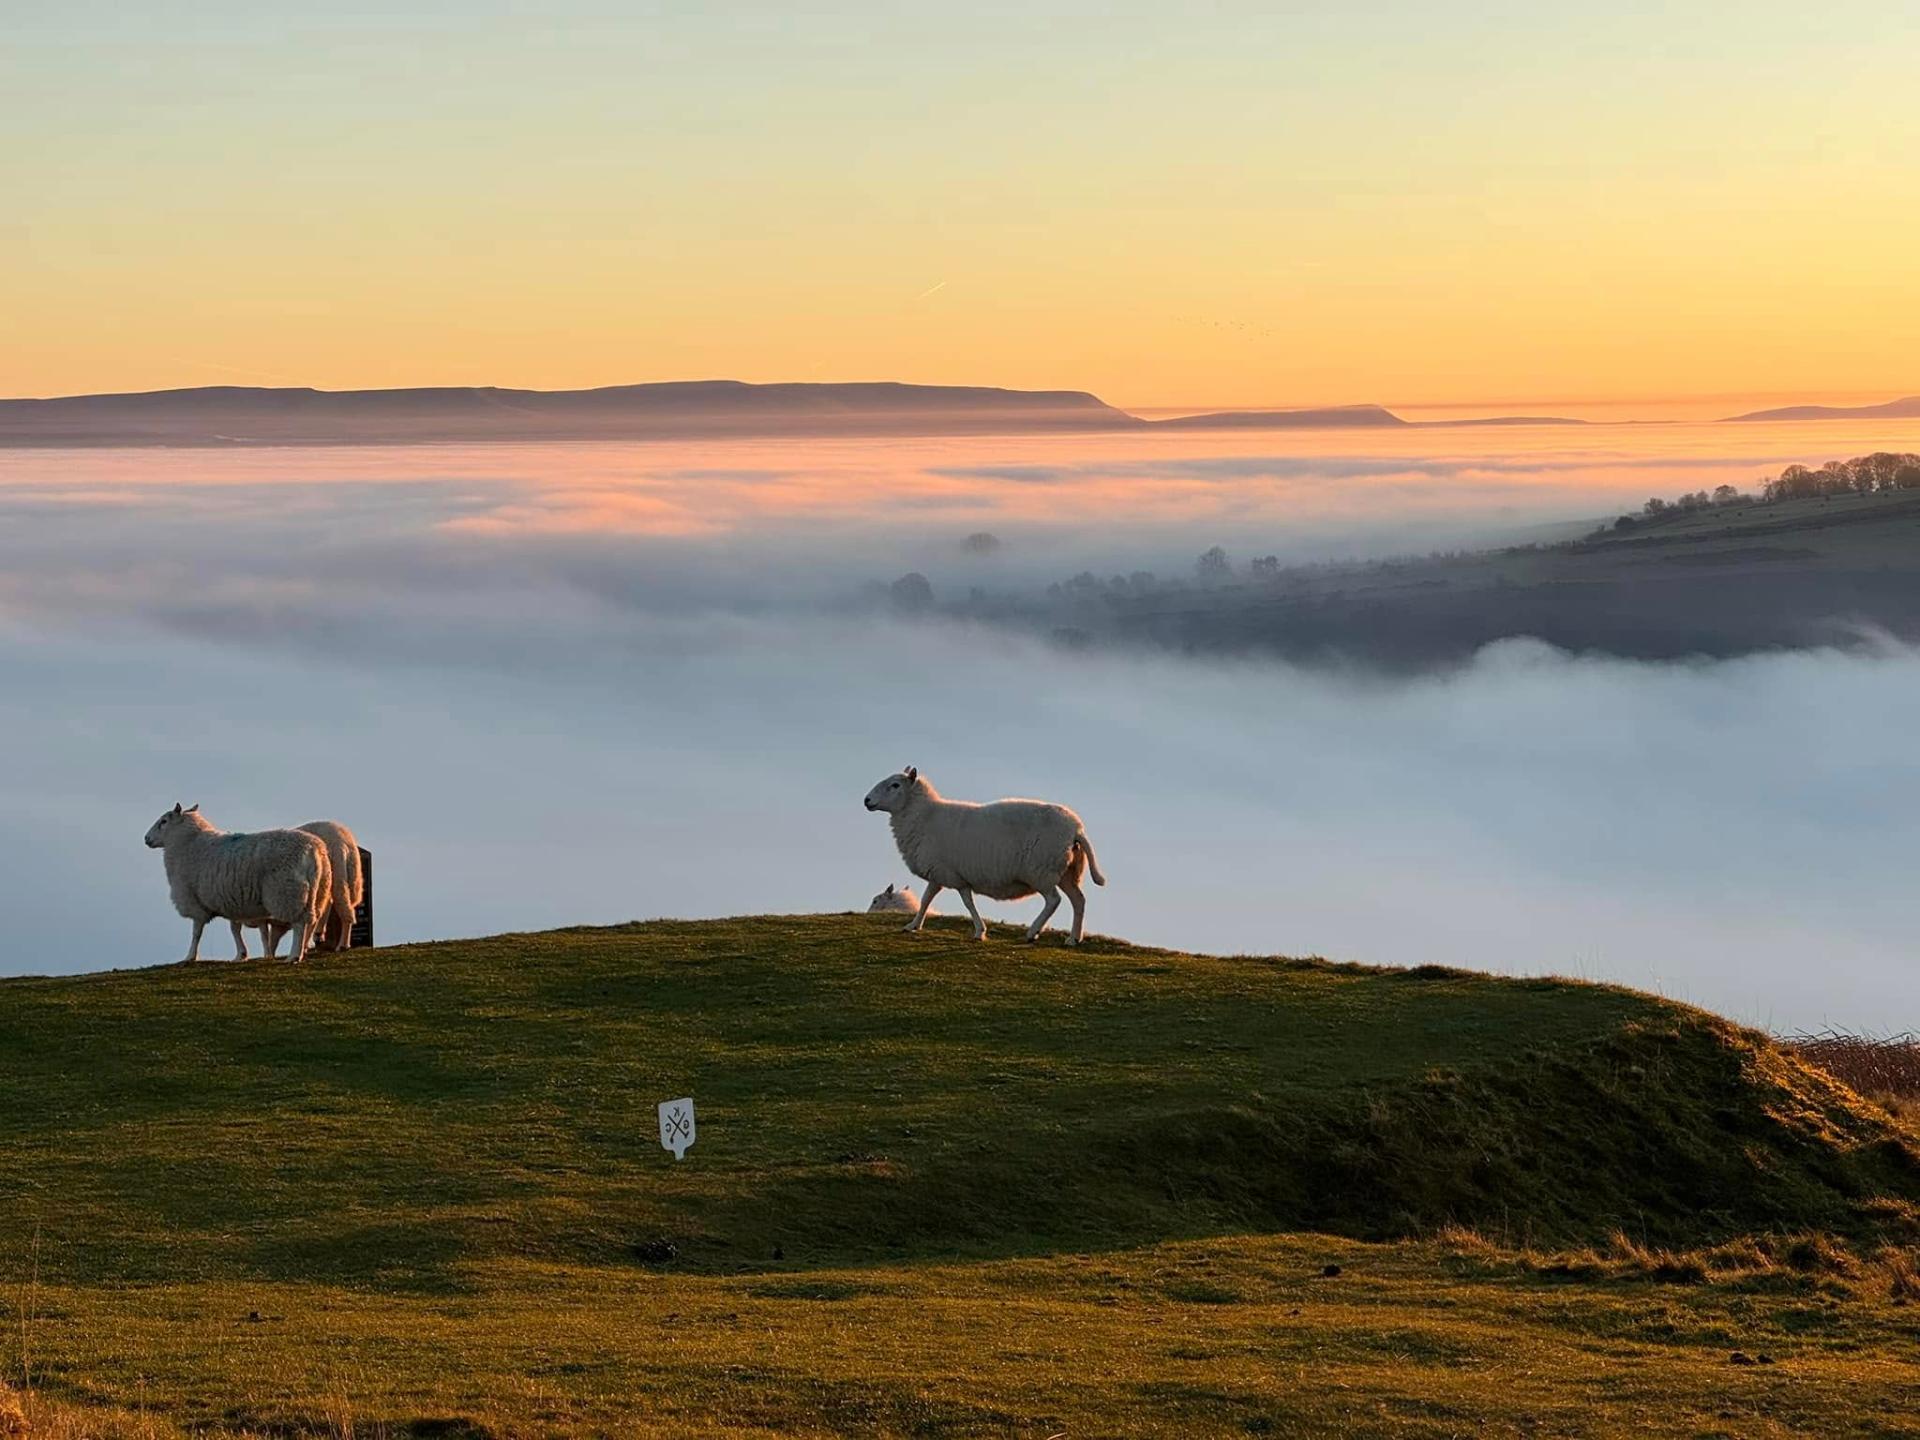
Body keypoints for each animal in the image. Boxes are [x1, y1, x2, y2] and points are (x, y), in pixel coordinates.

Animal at [144, 803, 332, 963]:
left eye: (163, 821)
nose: (146, 839)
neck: (187, 842)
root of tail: (313, 850)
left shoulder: (195, 902)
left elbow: (197, 933)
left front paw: (190, 956)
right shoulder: (232, 902)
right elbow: (234, 929)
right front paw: (241, 955)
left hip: (288, 893)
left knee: (299, 924)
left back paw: (294, 956)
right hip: (318, 892)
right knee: (311, 921)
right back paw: (302, 951)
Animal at [862, 766, 1106, 944]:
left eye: (895, 785)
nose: (866, 800)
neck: (923, 816)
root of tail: (1076, 829)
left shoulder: (952, 875)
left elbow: (967, 903)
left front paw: (980, 931)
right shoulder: (942, 873)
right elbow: (926, 900)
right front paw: (913, 926)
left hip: (1042, 871)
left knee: (1053, 901)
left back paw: (1033, 932)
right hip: (1066, 872)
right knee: (1079, 900)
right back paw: (1073, 939)